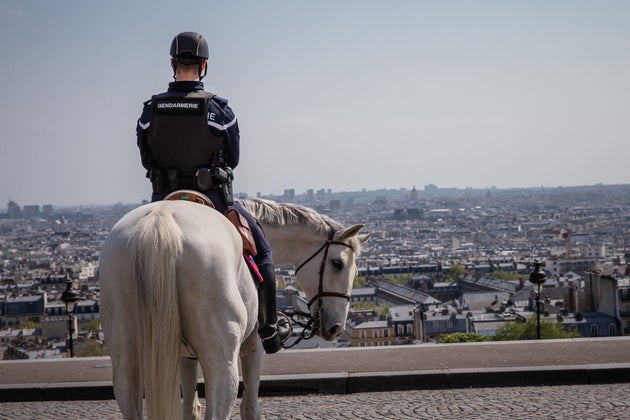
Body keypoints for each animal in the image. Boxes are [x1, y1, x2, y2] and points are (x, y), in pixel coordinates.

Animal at [100, 198, 370, 420]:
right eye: (338, 263)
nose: (336, 327)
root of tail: (160, 220)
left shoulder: (184, 355)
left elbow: (190, 408)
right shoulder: (253, 347)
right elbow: (250, 408)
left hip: (126, 355)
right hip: (222, 357)